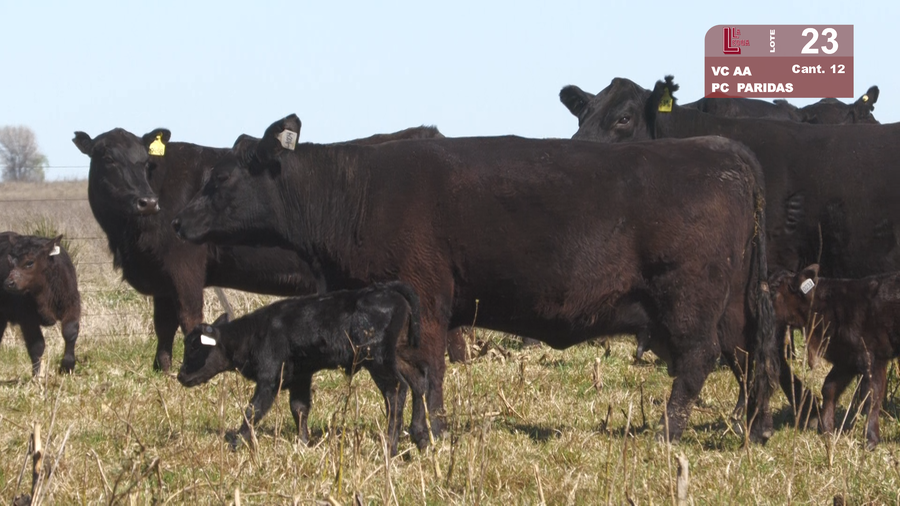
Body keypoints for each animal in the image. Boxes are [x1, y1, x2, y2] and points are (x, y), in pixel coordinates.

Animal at [1, 233, 81, 376]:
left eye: (30, 262)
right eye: (9, 261)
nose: (8, 283)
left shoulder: (72, 304)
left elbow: (70, 332)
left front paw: (67, 365)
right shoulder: (27, 318)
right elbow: (37, 346)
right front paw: (36, 376)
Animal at [72, 125, 445, 372]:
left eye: (145, 162)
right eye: (106, 158)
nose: (147, 202)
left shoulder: (184, 268)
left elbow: (189, 318)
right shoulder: (162, 278)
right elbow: (162, 325)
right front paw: (161, 367)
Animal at [177, 281, 421, 455]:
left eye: (195, 348)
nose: (180, 376)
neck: (253, 334)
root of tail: (386, 289)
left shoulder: (270, 377)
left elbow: (254, 410)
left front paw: (237, 442)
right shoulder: (300, 376)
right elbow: (299, 408)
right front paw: (303, 443)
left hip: (378, 360)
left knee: (396, 391)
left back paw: (390, 448)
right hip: (401, 355)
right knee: (419, 383)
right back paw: (421, 440)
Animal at [769, 264, 900, 449]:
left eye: (774, 289)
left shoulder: (871, 358)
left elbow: (871, 397)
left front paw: (870, 440)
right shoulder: (846, 359)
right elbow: (829, 387)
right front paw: (827, 430)